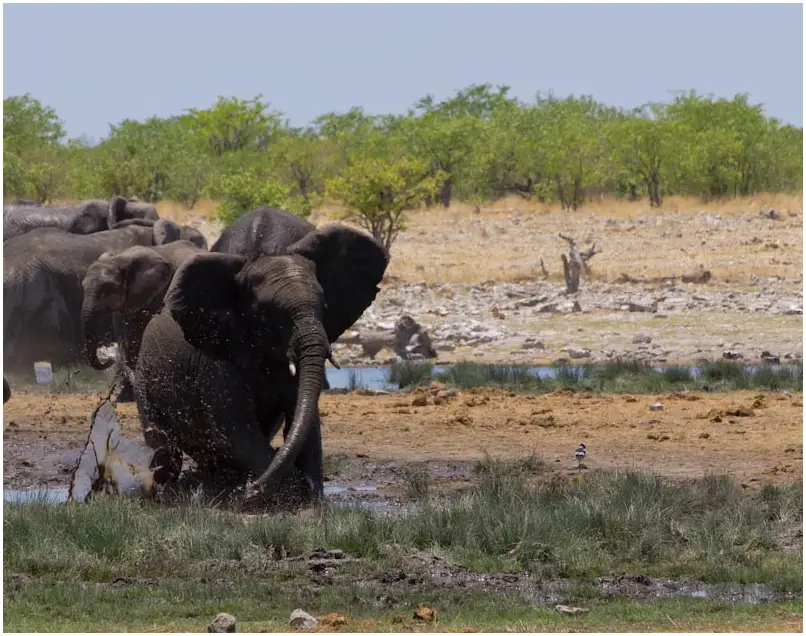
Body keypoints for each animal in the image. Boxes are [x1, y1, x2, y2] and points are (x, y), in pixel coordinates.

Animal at [81, 240, 209, 398]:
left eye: (107, 290)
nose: (109, 359)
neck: (121, 258)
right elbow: (127, 339)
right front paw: (124, 395)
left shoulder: (160, 293)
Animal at [134, 222, 389, 506]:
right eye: (268, 312)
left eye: (323, 305)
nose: (250, 490)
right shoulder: (218, 360)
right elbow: (237, 432)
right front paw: (285, 493)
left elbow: (304, 420)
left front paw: (308, 497)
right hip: (144, 380)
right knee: (166, 455)